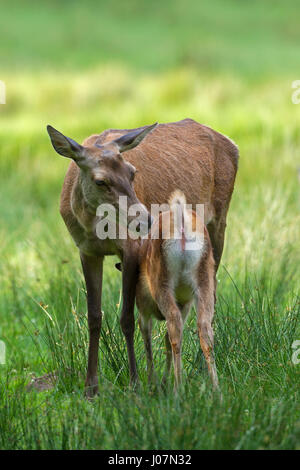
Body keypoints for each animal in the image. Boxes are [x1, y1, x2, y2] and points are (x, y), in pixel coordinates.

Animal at [136, 190, 218, 390]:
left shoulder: (142, 306)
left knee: (174, 327)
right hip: (205, 279)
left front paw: (152, 382)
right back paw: (216, 389)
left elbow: (146, 335)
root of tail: (182, 226)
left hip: (161, 281)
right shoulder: (186, 303)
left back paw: (178, 388)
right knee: (205, 329)